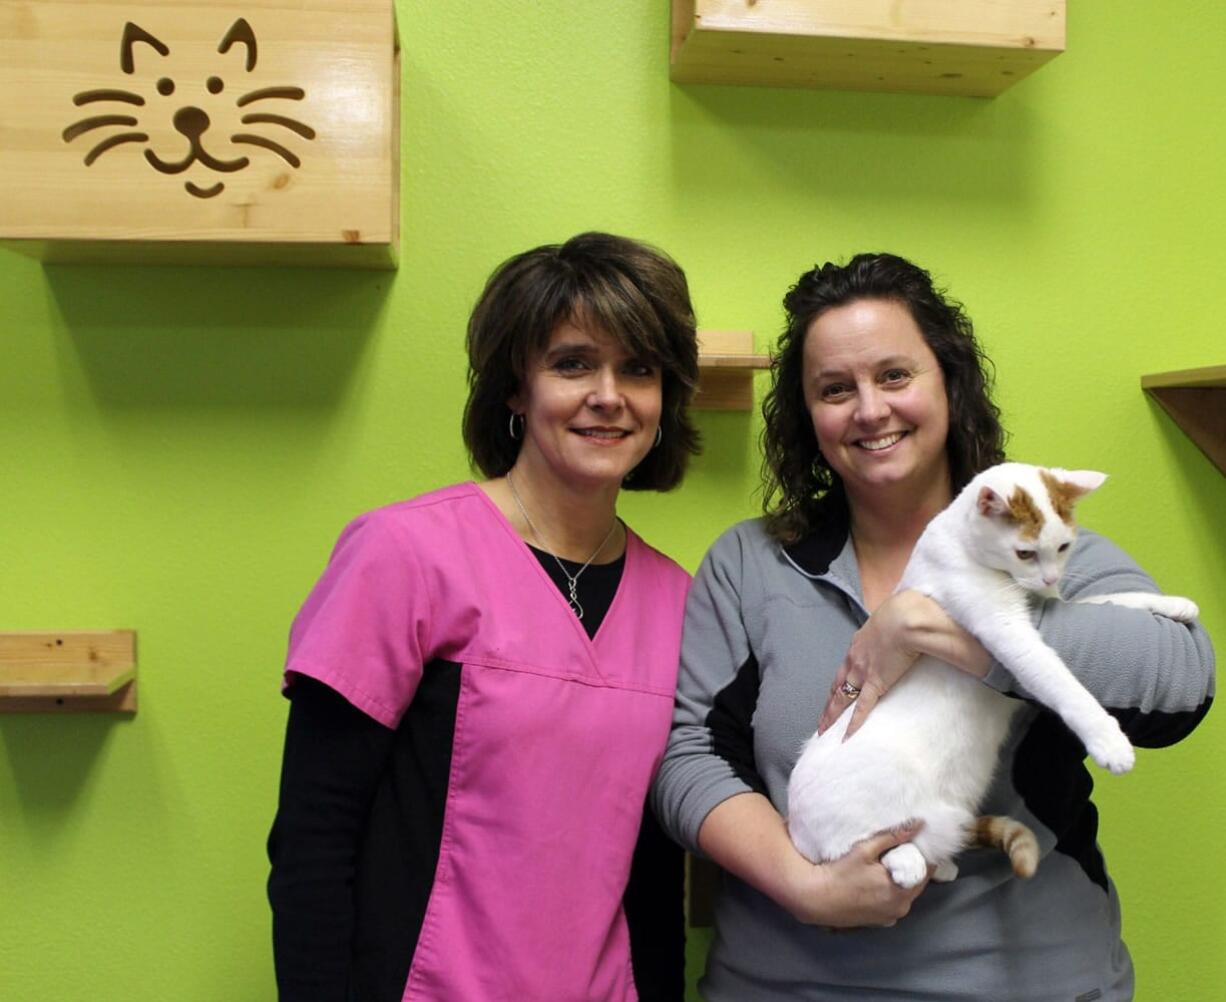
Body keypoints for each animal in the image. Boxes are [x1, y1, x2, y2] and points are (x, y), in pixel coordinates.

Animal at [784, 458, 1196, 883]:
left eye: (1063, 546)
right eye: (1025, 553)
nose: (1051, 577)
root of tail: (794, 829)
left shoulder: (1050, 606)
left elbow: (1114, 600)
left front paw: (1174, 605)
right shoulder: (1008, 629)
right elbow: (1061, 682)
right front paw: (1109, 742)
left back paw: (941, 864)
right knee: (852, 848)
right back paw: (905, 862)